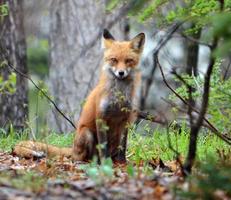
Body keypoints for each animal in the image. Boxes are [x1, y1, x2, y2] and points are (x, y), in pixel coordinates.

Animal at [13, 30, 144, 164]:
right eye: (114, 60)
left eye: (128, 60)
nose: (121, 73)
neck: (118, 97)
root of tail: (73, 148)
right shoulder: (101, 117)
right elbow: (103, 146)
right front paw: (106, 164)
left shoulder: (126, 119)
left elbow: (123, 145)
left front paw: (122, 163)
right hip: (87, 133)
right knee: (82, 157)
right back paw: (90, 162)